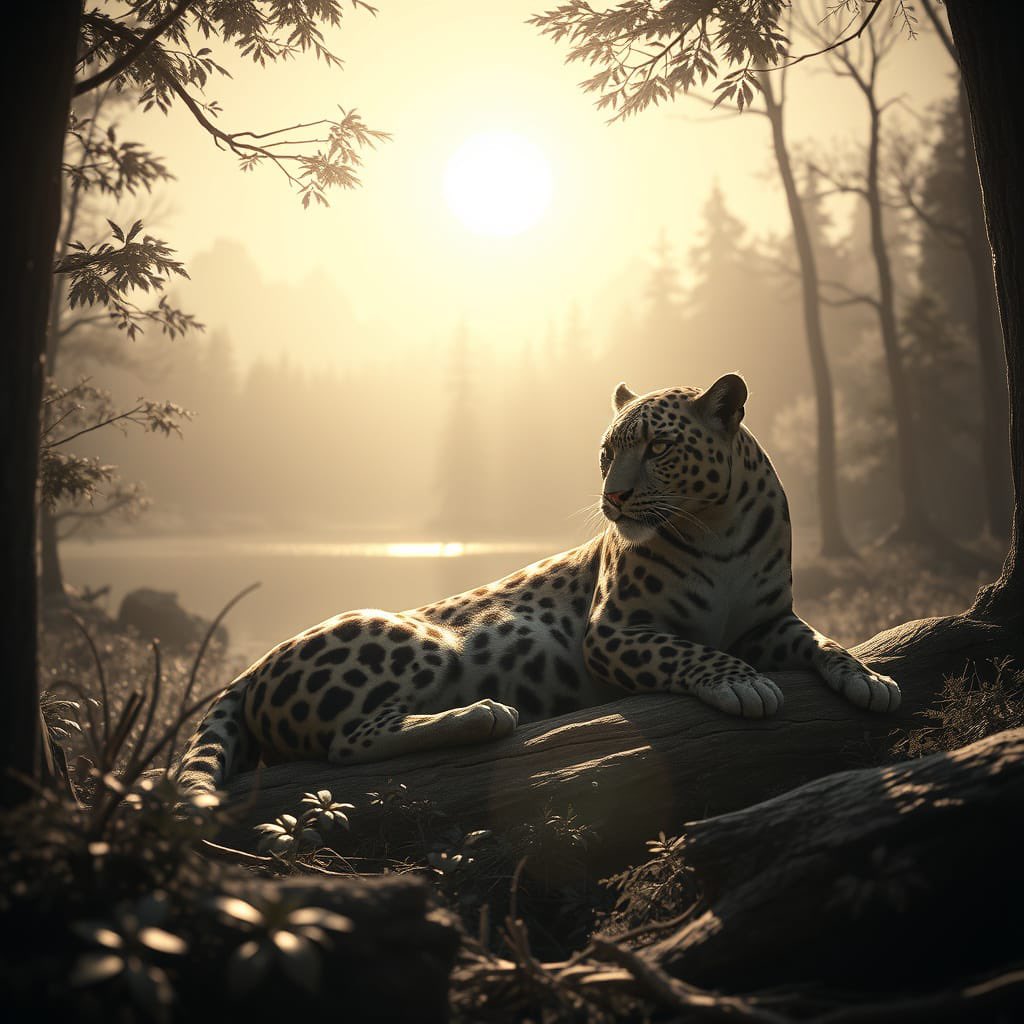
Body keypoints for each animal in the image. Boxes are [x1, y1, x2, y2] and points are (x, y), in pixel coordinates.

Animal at [176, 372, 901, 796]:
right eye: (606, 454)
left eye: (658, 448)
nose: (613, 498)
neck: (715, 523)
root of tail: (252, 668)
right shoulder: (612, 632)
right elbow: (687, 648)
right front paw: (741, 683)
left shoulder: (769, 621)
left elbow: (823, 640)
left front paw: (870, 679)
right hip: (412, 641)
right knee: (345, 744)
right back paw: (482, 714)